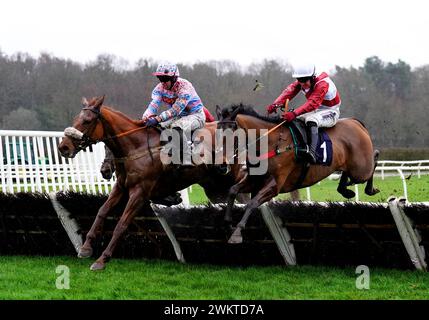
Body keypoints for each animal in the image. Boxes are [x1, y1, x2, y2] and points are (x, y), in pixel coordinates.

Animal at [57, 95, 242, 270]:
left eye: (87, 121)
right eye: (76, 118)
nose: (63, 147)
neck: (136, 148)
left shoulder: (139, 193)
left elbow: (122, 224)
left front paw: (102, 259)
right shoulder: (121, 187)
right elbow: (101, 211)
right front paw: (85, 248)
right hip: (214, 188)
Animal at [217, 105, 378, 242]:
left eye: (229, 135)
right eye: (217, 134)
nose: (221, 165)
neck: (272, 142)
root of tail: (355, 122)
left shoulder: (275, 184)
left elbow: (252, 203)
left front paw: (237, 233)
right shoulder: (254, 179)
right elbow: (232, 190)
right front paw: (227, 224)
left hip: (361, 169)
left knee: (374, 158)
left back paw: (370, 189)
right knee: (348, 172)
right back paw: (345, 189)